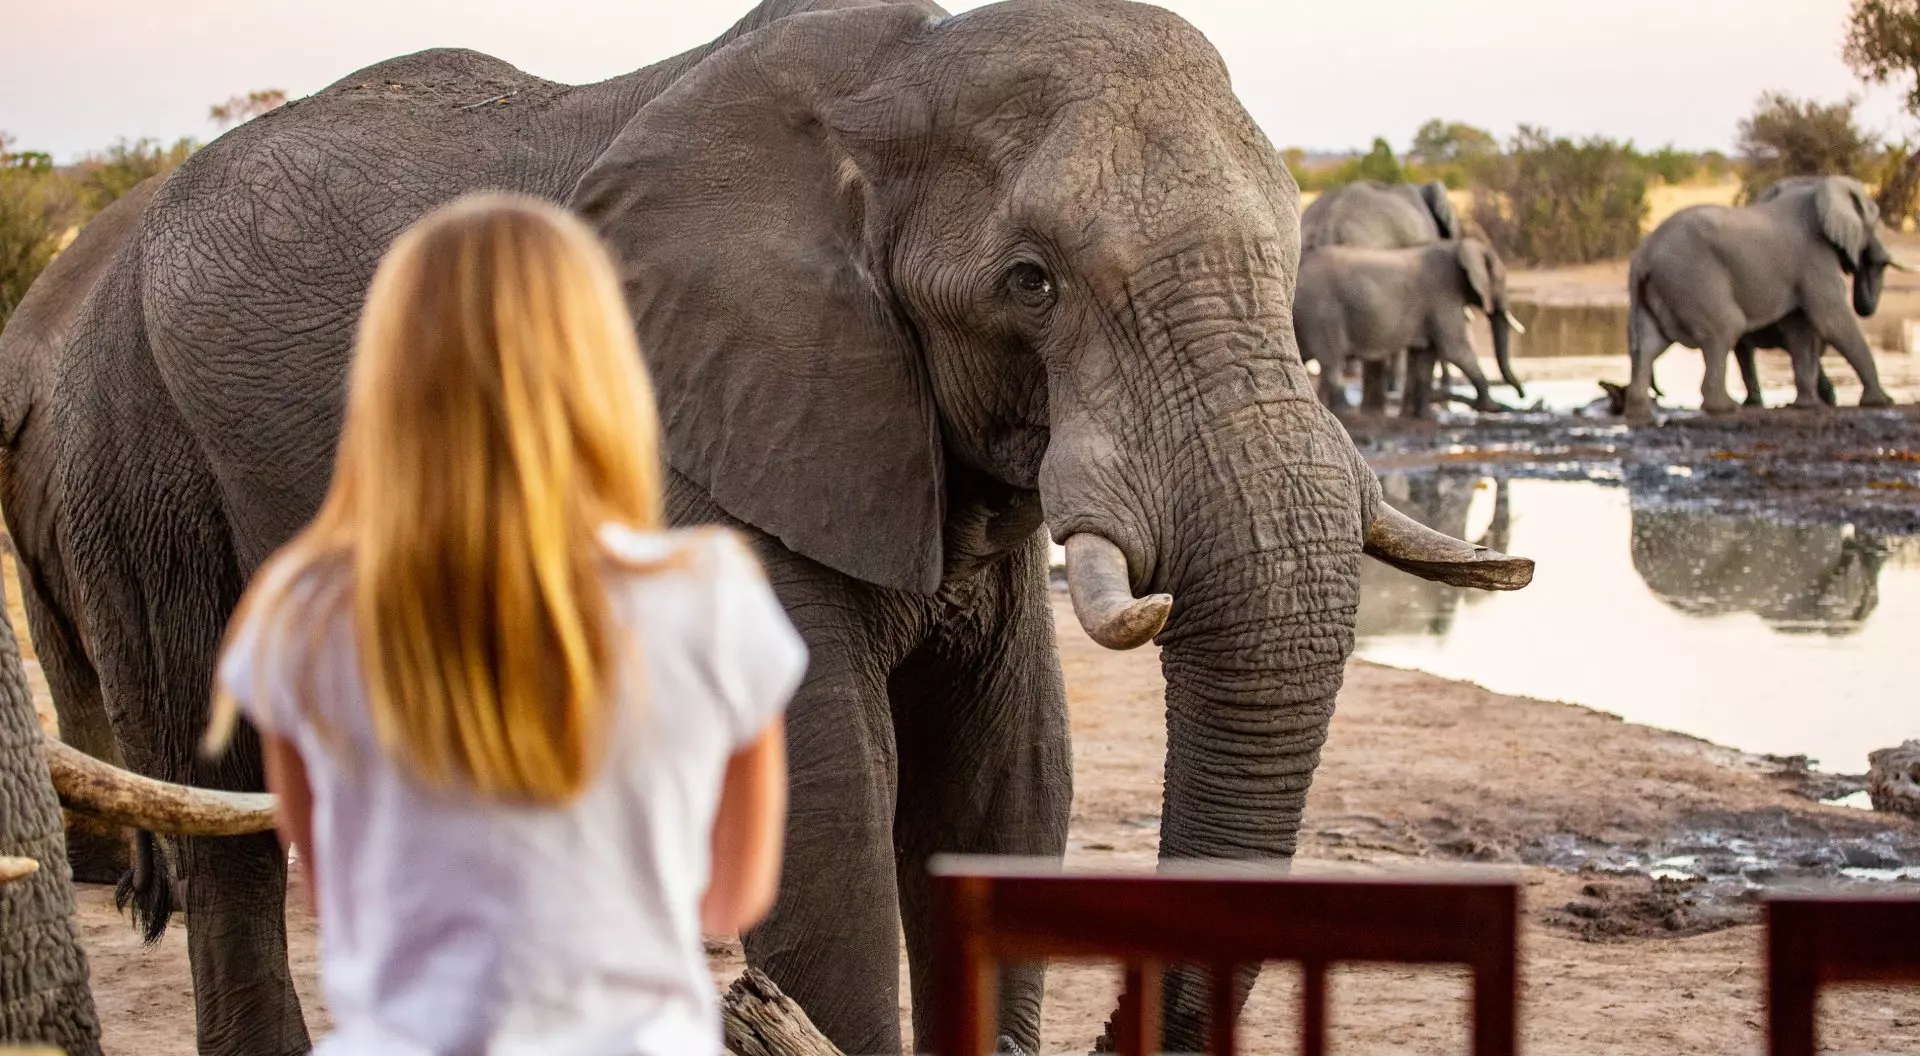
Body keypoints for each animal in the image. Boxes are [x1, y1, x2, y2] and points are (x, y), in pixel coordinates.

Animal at [1295, 238, 1527, 417]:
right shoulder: (1443, 296)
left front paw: (1425, 416)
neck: (1457, 247)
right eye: (1501, 281)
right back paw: (1344, 413)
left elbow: (1425, 357)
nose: (1522, 395)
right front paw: (1490, 407)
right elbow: (1455, 350)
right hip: (1320, 312)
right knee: (1332, 361)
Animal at [1625, 174, 1901, 418]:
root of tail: (1643, 254)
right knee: (1725, 328)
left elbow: (1799, 330)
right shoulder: (1814, 259)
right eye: (1875, 217)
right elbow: (1831, 320)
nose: (1862, 262)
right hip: (1692, 277)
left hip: (1663, 285)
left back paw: (1639, 411)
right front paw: (1882, 401)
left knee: (1650, 342)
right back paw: (1726, 408)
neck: (1818, 188)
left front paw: (1806, 406)